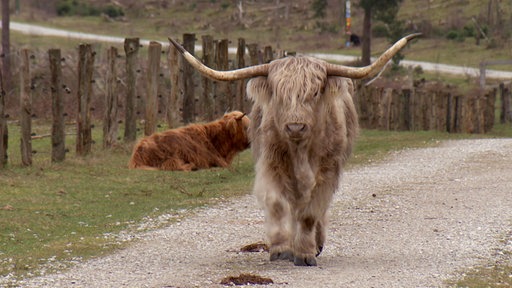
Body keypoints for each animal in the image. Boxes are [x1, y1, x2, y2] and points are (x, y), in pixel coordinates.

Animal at [170, 33, 418, 266]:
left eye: (315, 93)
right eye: (279, 94)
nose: (295, 126)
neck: (300, 151)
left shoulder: (328, 170)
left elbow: (310, 213)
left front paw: (306, 252)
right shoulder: (271, 164)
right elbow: (278, 204)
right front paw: (281, 248)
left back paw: (316, 244)